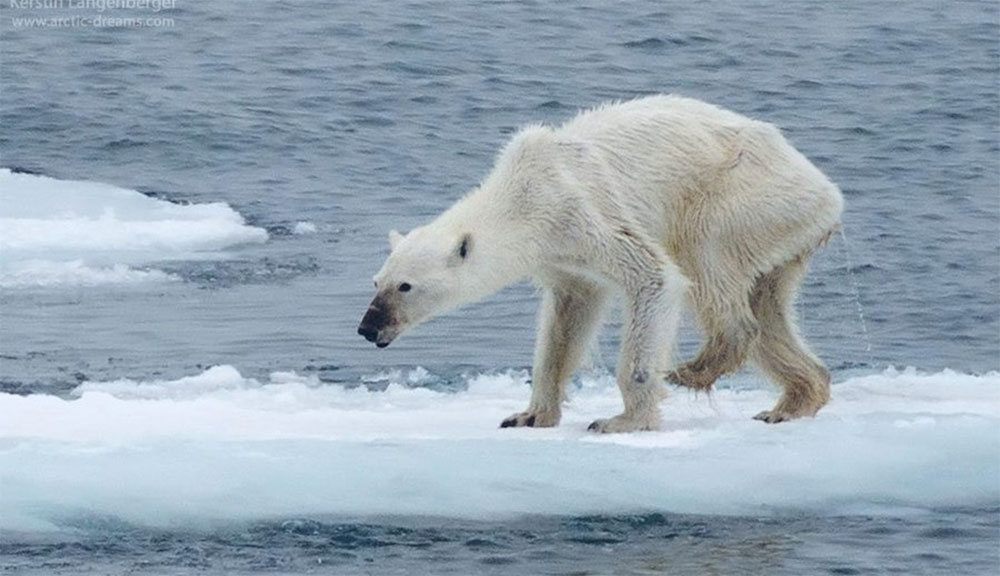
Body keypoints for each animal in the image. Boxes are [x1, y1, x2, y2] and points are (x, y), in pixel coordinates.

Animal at [360, 95, 844, 432]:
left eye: (405, 286)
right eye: (376, 281)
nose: (368, 327)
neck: (523, 195)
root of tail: (827, 192)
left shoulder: (581, 212)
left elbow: (655, 277)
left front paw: (622, 420)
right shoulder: (561, 256)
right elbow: (566, 320)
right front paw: (528, 415)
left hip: (744, 198)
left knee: (706, 259)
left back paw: (695, 368)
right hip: (782, 232)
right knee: (768, 307)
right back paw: (792, 401)